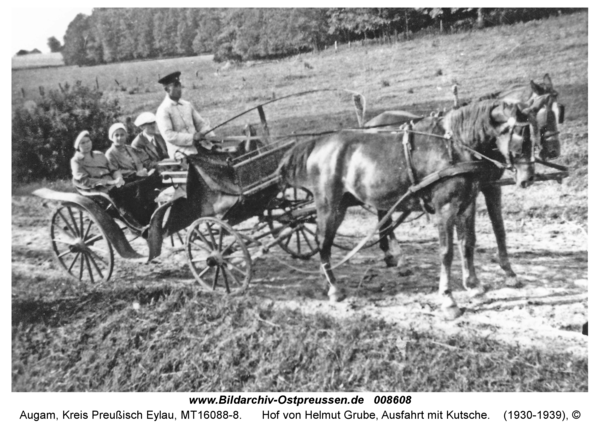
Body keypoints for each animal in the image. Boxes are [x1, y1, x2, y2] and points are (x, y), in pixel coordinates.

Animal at [282, 99, 540, 318]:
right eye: (521, 137)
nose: (528, 178)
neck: (454, 147)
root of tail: (318, 143)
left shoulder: (467, 203)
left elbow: (468, 243)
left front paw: (474, 286)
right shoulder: (446, 208)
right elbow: (446, 252)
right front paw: (448, 300)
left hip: (343, 204)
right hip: (329, 205)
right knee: (323, 242)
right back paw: (335, 288)